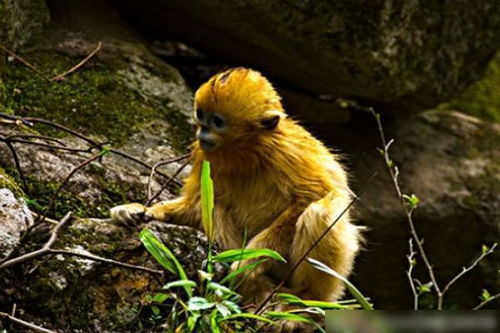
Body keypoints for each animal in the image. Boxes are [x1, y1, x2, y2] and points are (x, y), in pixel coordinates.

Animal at [110, 67, 360, 304]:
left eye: (217, 122)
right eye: (201, 115)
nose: (202, 131)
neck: (246, 150)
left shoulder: (287, 151)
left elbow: (314, 195)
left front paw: (247, 262)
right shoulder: (204, 154)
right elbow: (194, 203)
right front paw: (142, 210)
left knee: (320, 210)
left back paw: (300, 298)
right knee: (214, 206)